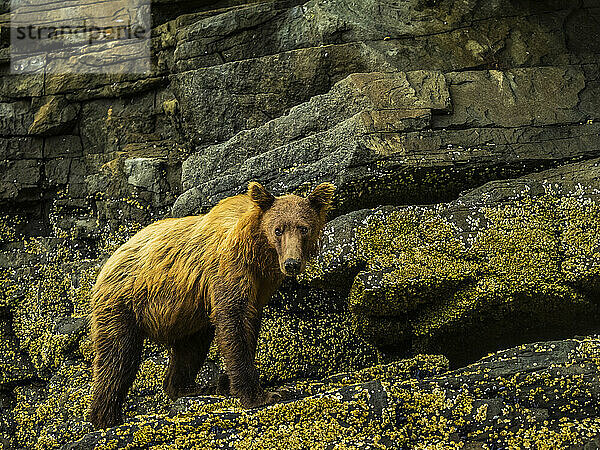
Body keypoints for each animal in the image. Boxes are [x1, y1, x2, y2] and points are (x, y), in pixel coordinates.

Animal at [87, 180, 336, 428]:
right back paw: (107, 417)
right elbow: (233, 321)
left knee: (190, 350)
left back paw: (188, 387)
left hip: (186, 314)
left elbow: (248, 325)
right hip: (123, 304)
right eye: (278, 229)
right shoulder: (229, 268)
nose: (292, 263)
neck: (257, 251)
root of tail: (110, 260)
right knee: (118, 357)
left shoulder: (260, 285)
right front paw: (259, 395)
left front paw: (227, 383)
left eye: (304, 228)